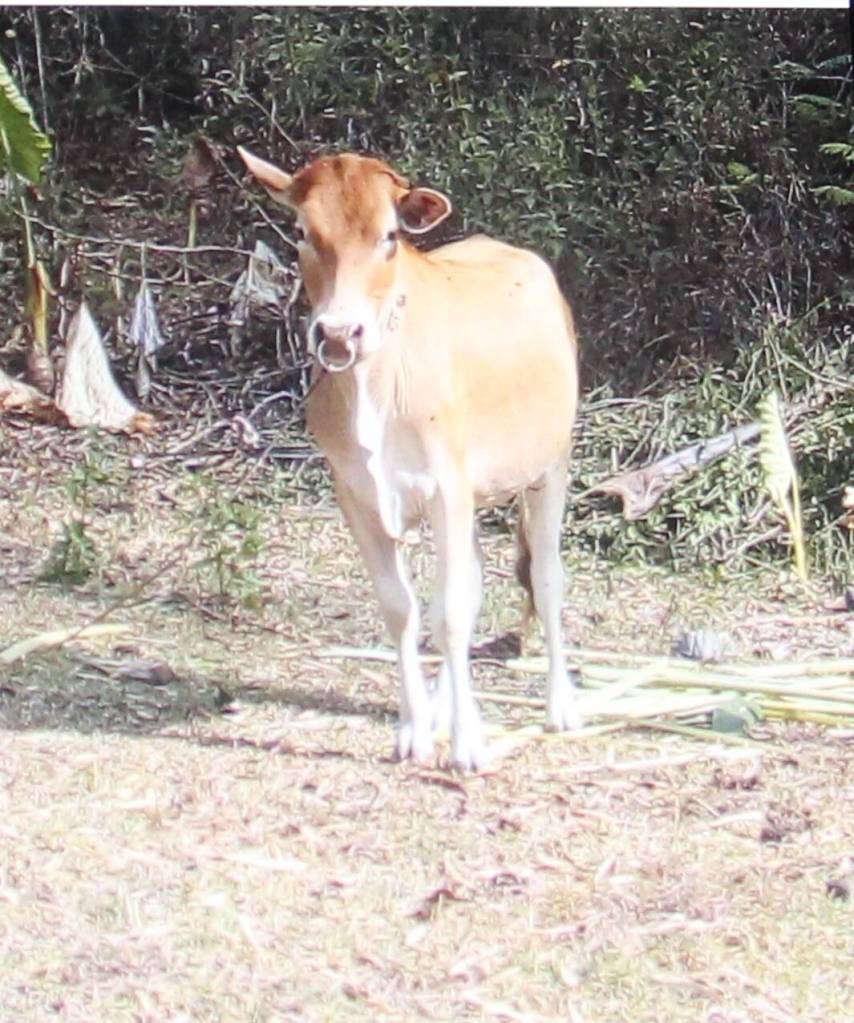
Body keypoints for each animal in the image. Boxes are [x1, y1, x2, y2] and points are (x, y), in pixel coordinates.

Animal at [238, 146, 581, 770]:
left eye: (390, 235)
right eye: (301, 231)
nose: (338, 333)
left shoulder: (448, 487)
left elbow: (449, 613)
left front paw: (467, 745)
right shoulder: (357, 494)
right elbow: (404, 608)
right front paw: (416, 730)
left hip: (551, 465)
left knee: (545, 578)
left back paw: (560, 705)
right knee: (474, 585)